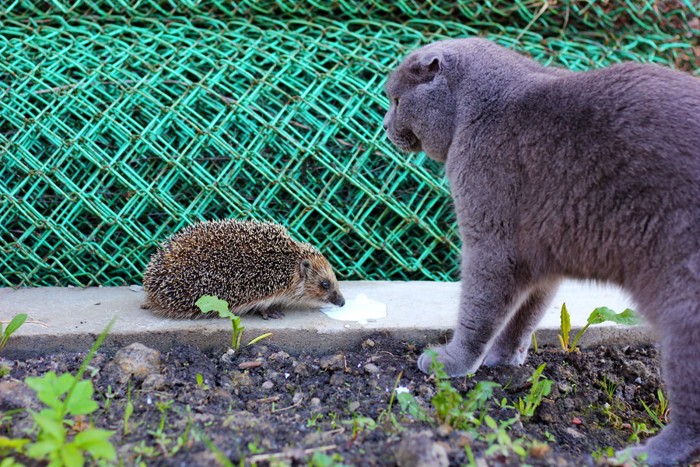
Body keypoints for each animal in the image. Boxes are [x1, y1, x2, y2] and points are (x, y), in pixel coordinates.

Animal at [386, 38, 700, 466]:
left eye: (396, 100)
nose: (385, 125)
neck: (476, 111)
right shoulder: (542, 260)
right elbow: (525, 315)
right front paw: (505, 358)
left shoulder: (491, 244)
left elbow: (477, 312)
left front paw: (452, 361)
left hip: (683, 308)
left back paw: (644, 454)